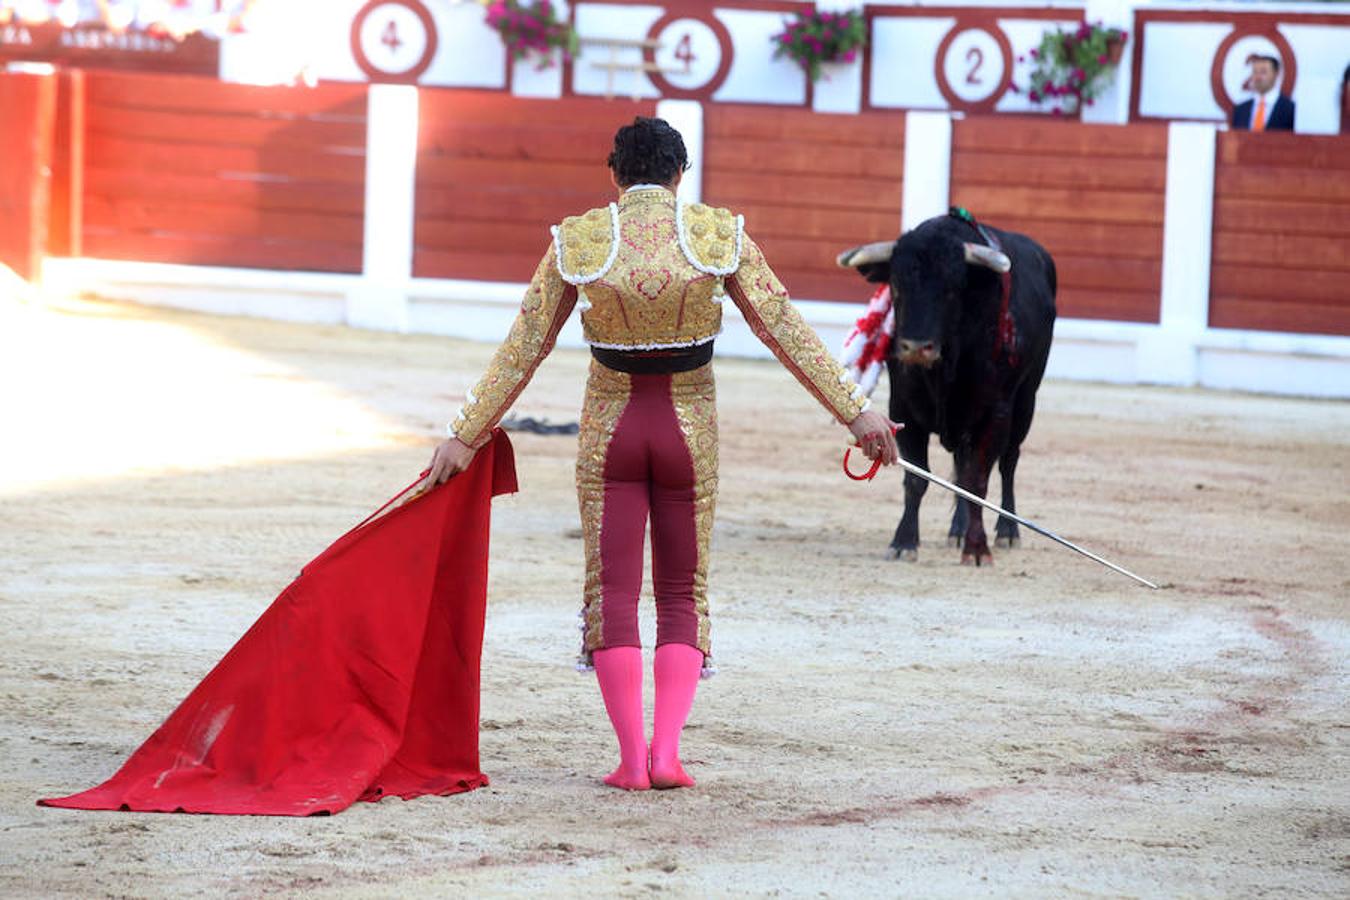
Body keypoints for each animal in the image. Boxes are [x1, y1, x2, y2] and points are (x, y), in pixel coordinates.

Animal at [842, 213, 1053, 564]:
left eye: (953, 289)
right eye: (896, 285)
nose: (916, 347)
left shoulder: (995, 414)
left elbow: (978, 482)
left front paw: (977, 549)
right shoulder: (904, 410)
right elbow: (917, 479)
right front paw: (904, 542)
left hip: (1026, 401)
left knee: (1008, 462)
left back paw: (1007, 532)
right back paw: (958, 530)